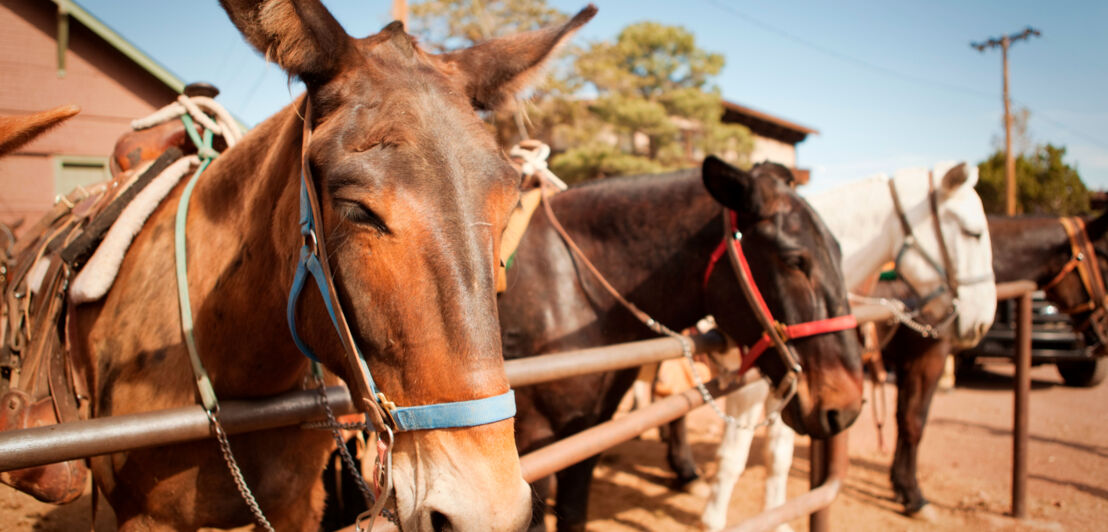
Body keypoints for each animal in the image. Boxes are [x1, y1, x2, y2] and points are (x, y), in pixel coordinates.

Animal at [700, 160, 997, 532]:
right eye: (974, 233)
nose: (983, 320)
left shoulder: (793, 386)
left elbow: (778, 456)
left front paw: (777, 518)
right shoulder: (750, 389)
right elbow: (733, 457)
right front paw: (713, 520)